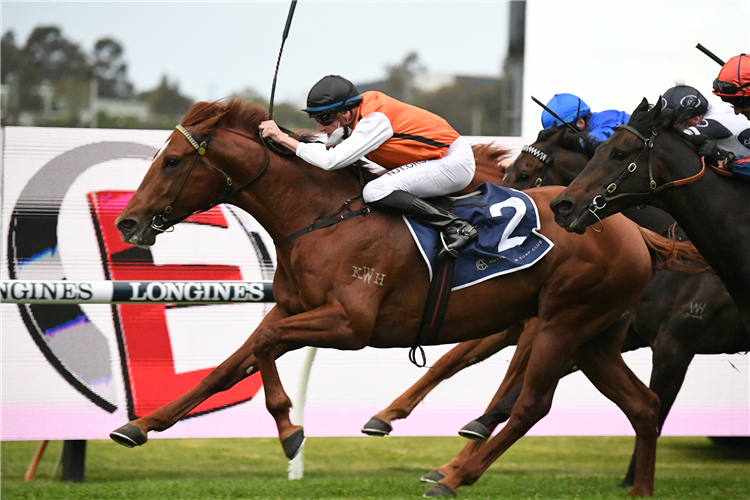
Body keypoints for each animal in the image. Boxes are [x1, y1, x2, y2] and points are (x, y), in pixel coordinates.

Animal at [111, 99, 704, 498]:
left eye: (171, 162)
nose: (128, 222)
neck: (320, 217)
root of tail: (631, 229)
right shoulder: (295, 308)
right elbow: (233, 363)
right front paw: (139, 426)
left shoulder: (350, 326)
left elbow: (265, 347)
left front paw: (290, 431)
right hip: (594, 336)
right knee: (644, 405)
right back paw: (640, 489)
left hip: (564, 322)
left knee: (534, 403)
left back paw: (454, 475)